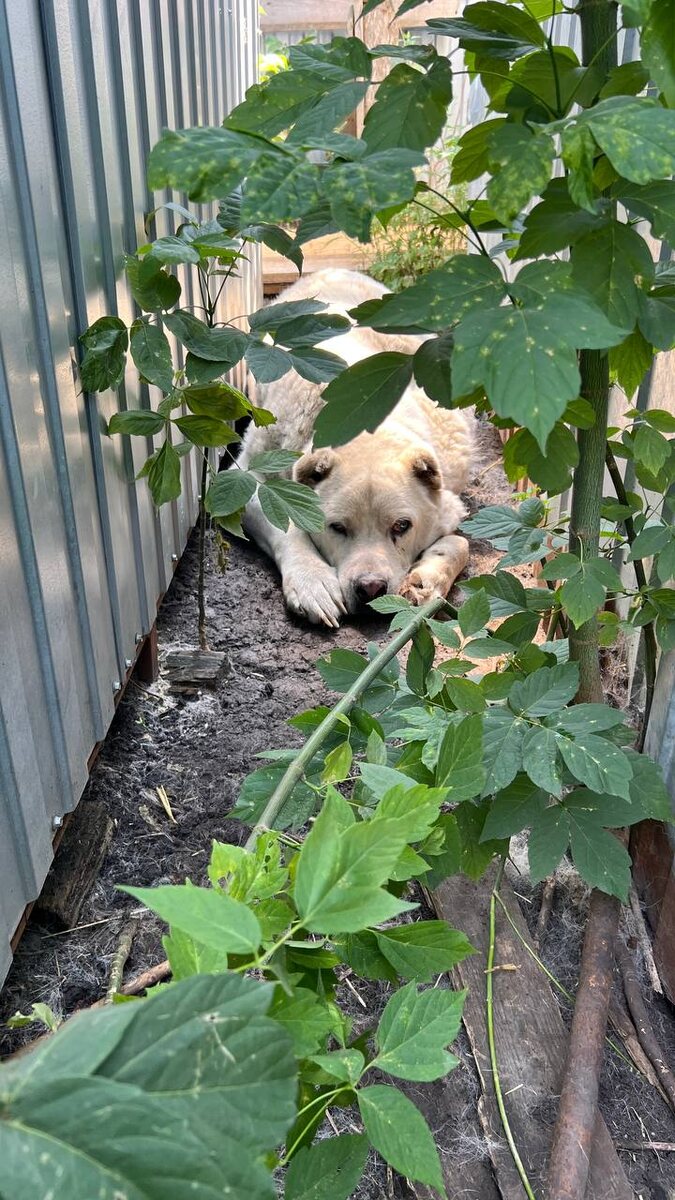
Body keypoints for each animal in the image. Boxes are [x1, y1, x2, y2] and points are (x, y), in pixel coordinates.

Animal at [238, 269, 474, 627]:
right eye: (337, 527)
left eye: (401, 526)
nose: (371, 588)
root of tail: (335, 271)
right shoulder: (244, 475)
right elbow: (285, 523)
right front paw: (313, 583)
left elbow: (460, 542)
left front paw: (425, 581)